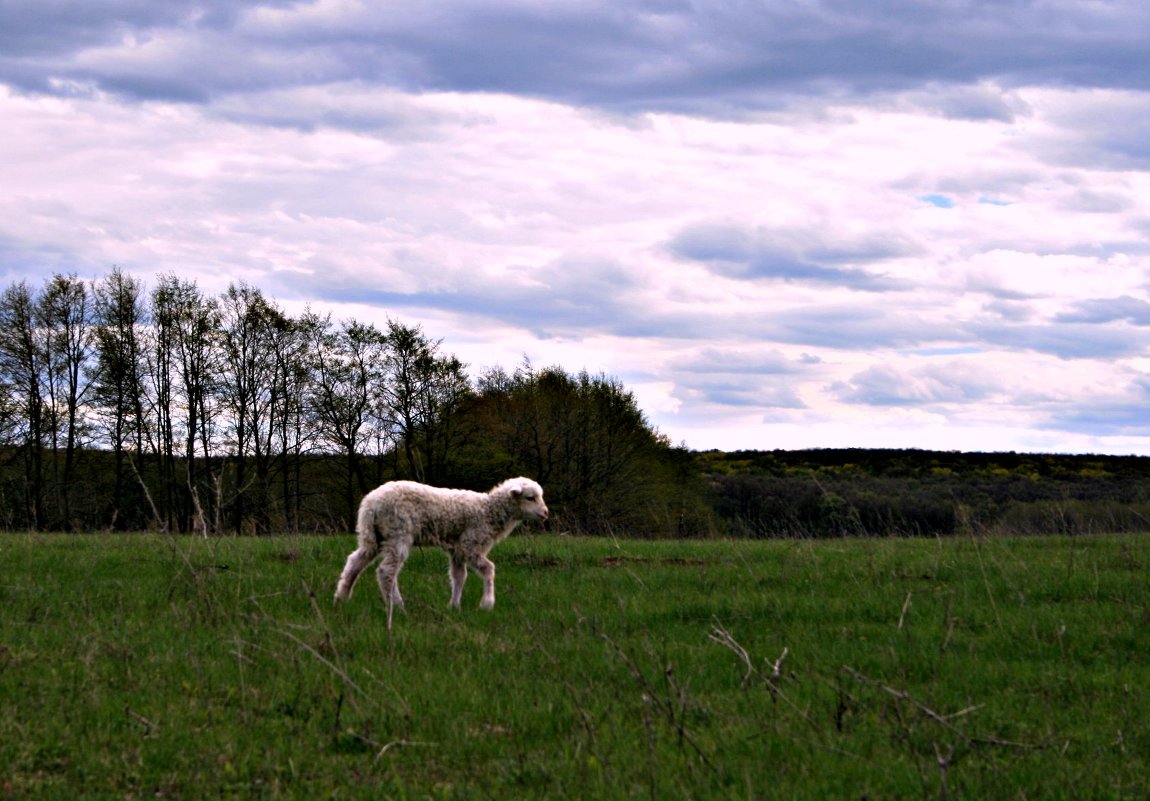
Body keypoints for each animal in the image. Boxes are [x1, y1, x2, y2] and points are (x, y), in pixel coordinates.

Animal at [333, 475, 547, 625]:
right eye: (530, 498)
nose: (546, 513)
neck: (489, 511)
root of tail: (371, 504)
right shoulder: (470, 544)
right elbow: (488, 569)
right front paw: (487, 604)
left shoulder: (457, 550)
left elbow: (459, 576)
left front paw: (454, 606)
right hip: (398, 532)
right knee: (386, 571)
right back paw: (397, 606)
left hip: (373, 536)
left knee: (356, 561)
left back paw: (341, 598)